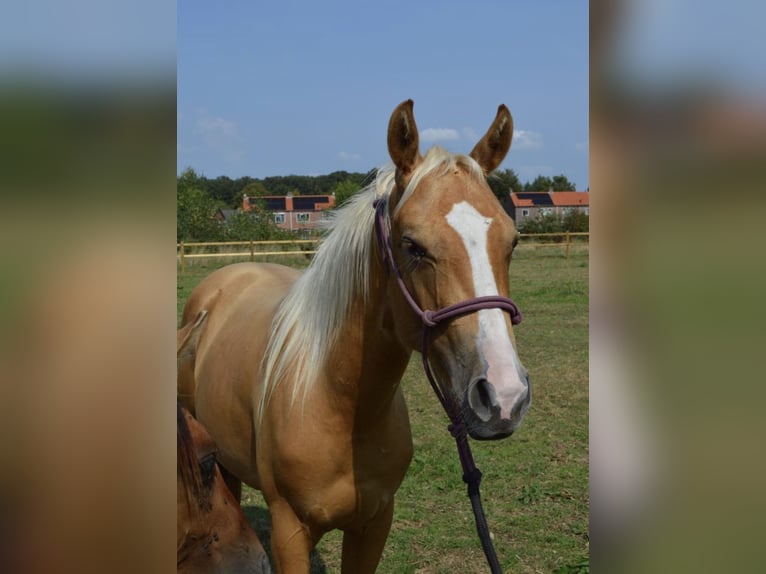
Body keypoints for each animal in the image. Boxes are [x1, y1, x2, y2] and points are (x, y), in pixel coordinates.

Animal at [177, 101, 532, 572]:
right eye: (412, 245)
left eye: (512, 242)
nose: (504, 395)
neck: (338, 402)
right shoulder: (289, 534)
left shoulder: (374, 524)